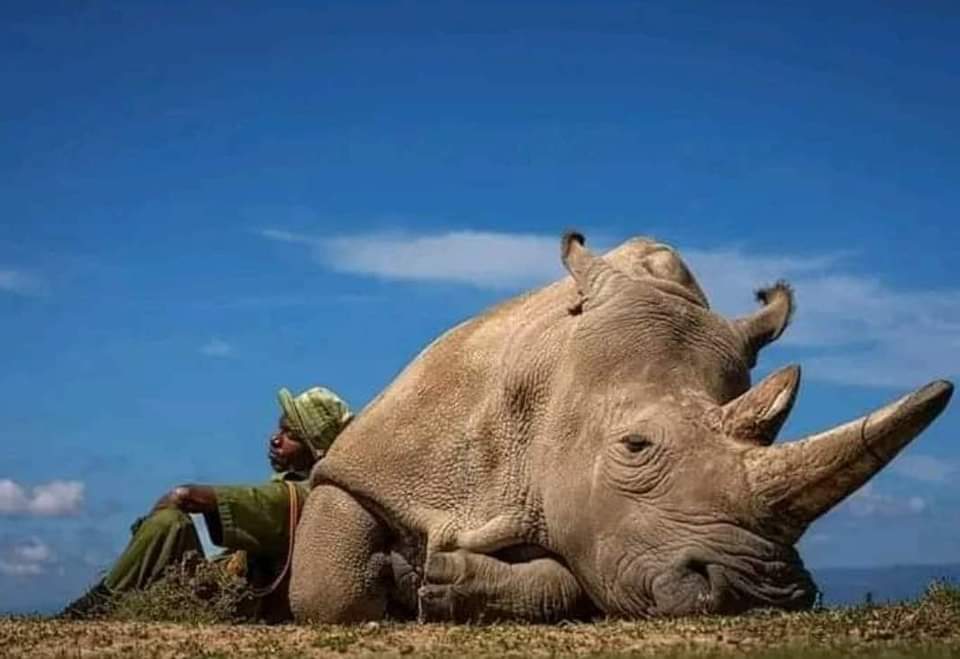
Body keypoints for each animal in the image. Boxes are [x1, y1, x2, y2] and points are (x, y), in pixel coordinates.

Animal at [288, 233, 948, 624]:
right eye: (636, 446)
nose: (760, 591)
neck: (552, 382)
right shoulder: (381, 458)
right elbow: (330, 585)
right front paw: (397, 581)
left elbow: (573, 578)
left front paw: (436, 583)